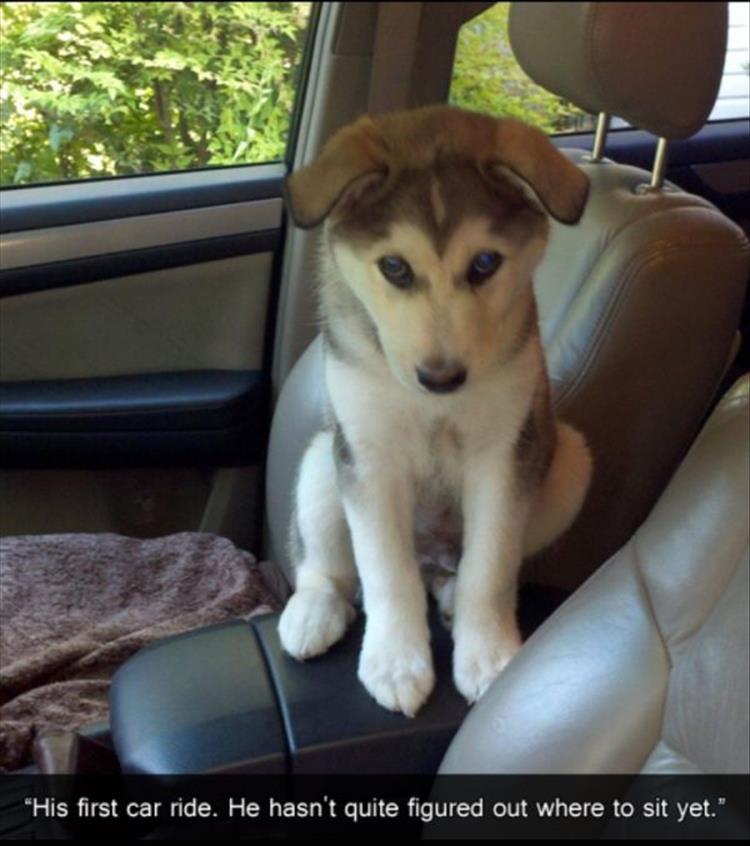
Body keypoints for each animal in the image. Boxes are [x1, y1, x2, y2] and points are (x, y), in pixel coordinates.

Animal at [276, 102, 592, 720]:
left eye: (486, 263)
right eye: (395, 268)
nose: (441, 378)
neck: (429, 405)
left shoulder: (505, 453)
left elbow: (490, 567)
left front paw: (487, 655)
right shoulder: (367, 455)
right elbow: (383, 569)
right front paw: (396, 663)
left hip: (568, 458)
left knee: (463, 567)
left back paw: (448, 594)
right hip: (323, 461)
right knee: (328, 566)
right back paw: (315, 611)